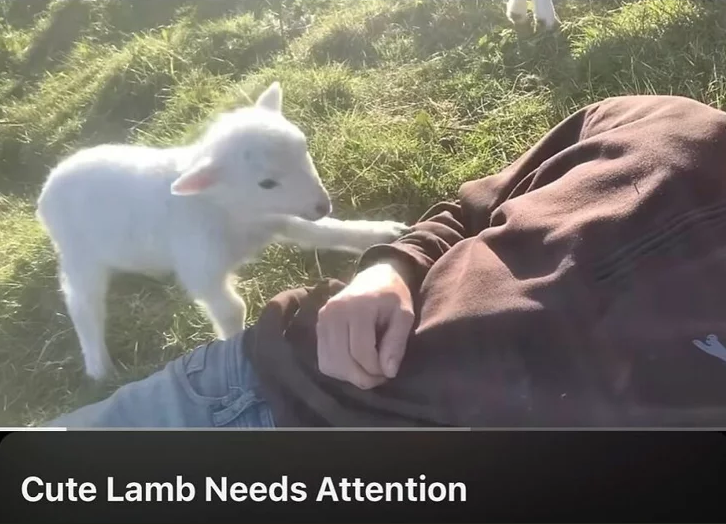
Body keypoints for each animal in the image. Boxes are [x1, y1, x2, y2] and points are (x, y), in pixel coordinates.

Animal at [36, 81, 410, 381]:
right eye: (266, 183)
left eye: (303, 148)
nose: (323, 205)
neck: (227, 209)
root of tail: (48, 186)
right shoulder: (201, 265)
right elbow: (231, 309)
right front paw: (234, 347)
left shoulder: (276, 218)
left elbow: (322, 232)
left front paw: (379, 233)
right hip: (80, 257)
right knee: (82, 304)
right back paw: (98, 366)